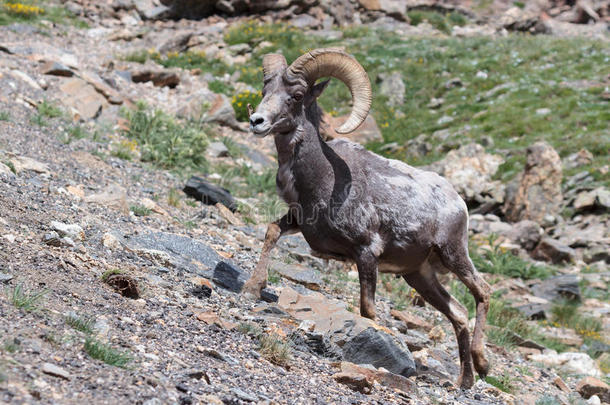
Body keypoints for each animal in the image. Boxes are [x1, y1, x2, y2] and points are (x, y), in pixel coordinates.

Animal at [241, 48, 490, 388]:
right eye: (265, 89)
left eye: (297, 95)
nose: (257, 121)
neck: (324, 177)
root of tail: (458, 202)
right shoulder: (297, 222)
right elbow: (271, 232)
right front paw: (252, 288)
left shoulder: (366, 252)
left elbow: (368, 311)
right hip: (419, 275)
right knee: (459, 312)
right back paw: (465, 381)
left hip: (454, 255)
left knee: (483, 292)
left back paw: (483, 364)